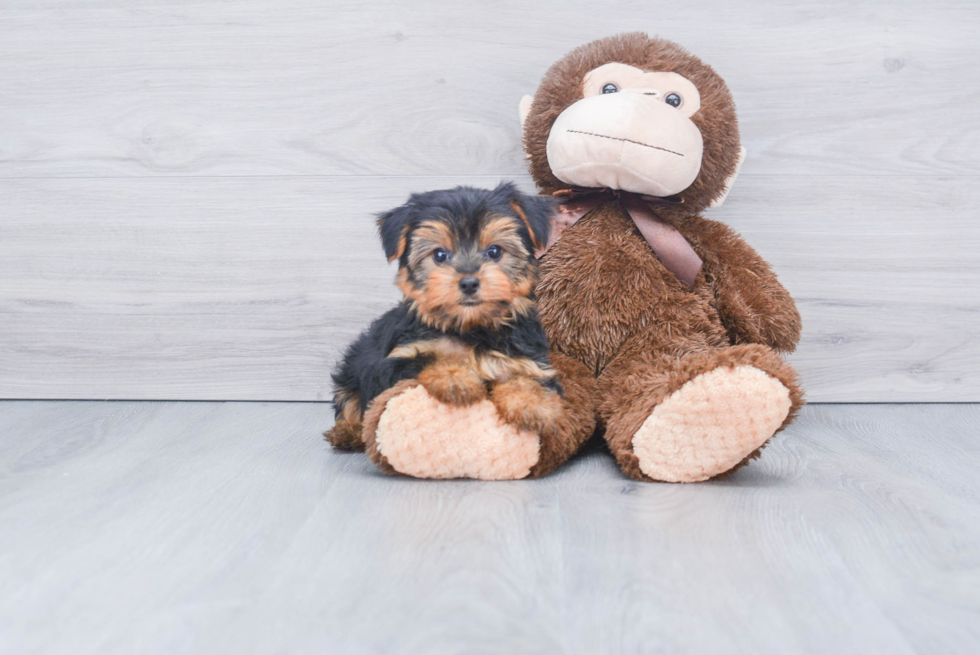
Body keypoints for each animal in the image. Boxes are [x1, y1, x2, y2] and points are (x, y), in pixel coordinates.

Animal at [326, 182, 564, 454]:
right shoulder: (393, 363)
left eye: (494, 251)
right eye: (439, 255)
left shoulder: (529, 360)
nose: (469, 282)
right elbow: (429, 359)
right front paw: (455, 378)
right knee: (349, 399)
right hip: (354, 363)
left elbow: (527, 379)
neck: (471, 327)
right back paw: (347, 431)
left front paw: (534, 403)